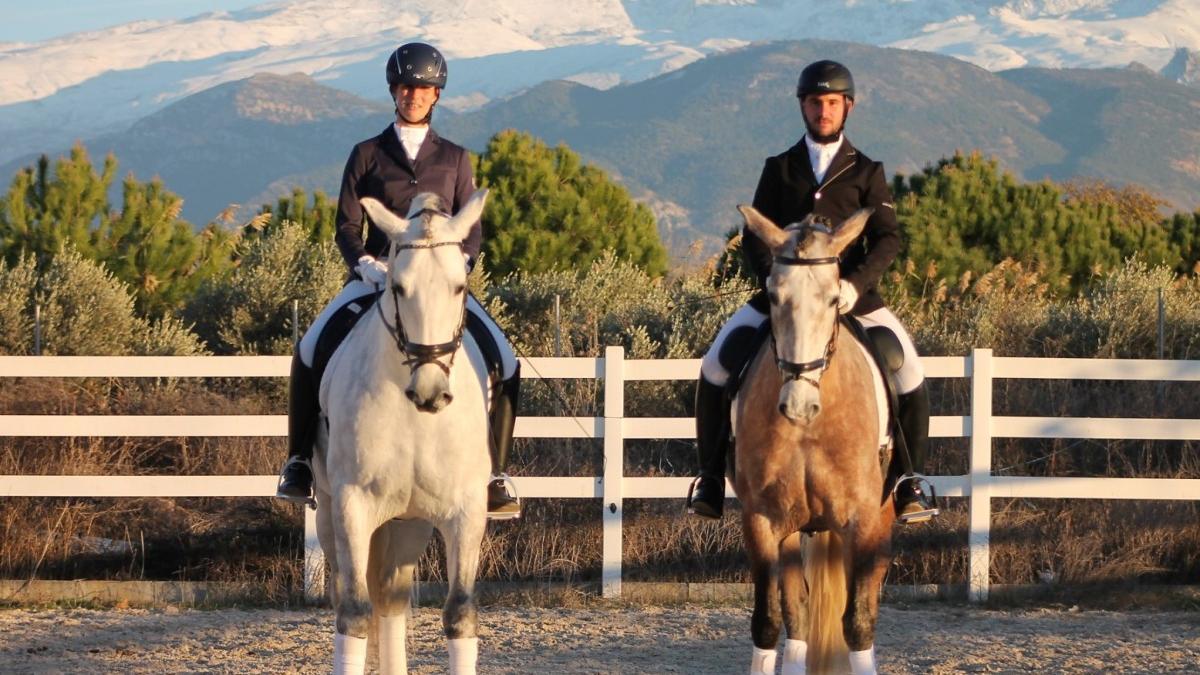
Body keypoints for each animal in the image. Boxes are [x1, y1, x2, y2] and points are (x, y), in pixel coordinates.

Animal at [314, 187, 496, 672]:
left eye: (459, 286)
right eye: (397, 286)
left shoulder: (467, 510)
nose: (430, 392)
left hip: (410, 523)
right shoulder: (352, 505)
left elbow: (459, 614)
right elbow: (354, 614)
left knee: (392, 601)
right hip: (329, 512)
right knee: (356, 599)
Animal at [724, 205, 897, 672]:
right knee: (798, 616)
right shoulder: (762, 522)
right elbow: (768, 623)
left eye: (835, 299)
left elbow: (857, 625)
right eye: (773, 295)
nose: (799, 406)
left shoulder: (863, 524)